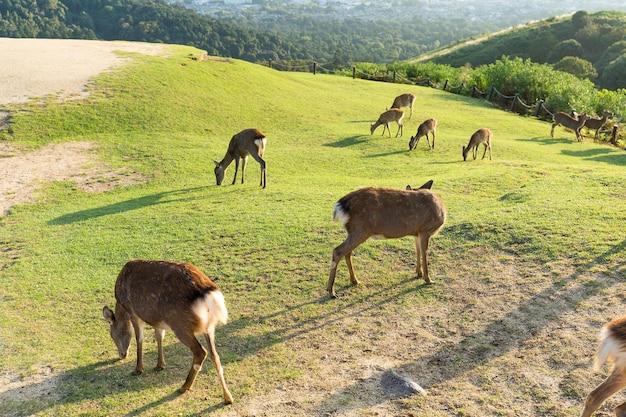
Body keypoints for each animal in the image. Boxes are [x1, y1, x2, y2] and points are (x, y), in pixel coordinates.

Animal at [102, 260, 234, 404]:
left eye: (112, 335)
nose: (122, 355)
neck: (121, 305)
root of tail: (206, 294)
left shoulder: (133, 312)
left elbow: (139, 339)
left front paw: (138, 369)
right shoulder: (157, 319)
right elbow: (159, 336)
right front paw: (160, 365)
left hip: (179, 323)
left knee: (200, 352)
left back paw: (184, 387)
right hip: (209, 326)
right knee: (215, 355)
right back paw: (228, 397)